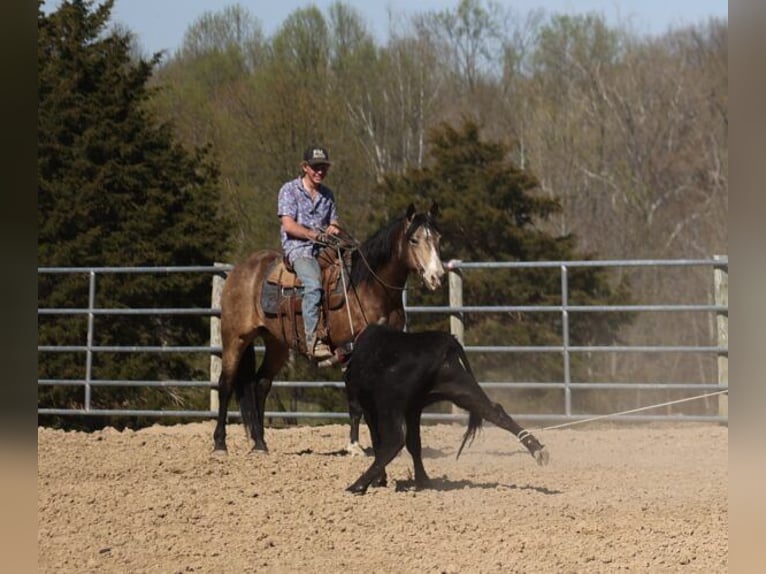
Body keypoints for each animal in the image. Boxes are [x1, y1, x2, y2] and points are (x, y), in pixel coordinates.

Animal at [213, 205, 448, 456]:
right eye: (414, 240)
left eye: (438, 238)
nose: (437, 277)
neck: (371, 288)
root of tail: (240, 270)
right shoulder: (351, 349)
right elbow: (355, 402)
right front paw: (355, 446)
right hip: (235, 337)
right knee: (225, 384)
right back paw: (220, 444)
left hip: (277, 344)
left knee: (260, 385)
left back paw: (260, 444)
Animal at [344, 324, 552, 496]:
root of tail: (443, 341)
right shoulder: (414, 409)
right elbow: (414, 443)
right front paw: (422, 480)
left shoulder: (371, 407)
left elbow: (379, 441)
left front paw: (380, 479)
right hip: (461, 387)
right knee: (494, 411)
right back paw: (537, 449)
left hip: (389, 403)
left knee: (394, 440)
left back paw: (357, 486)